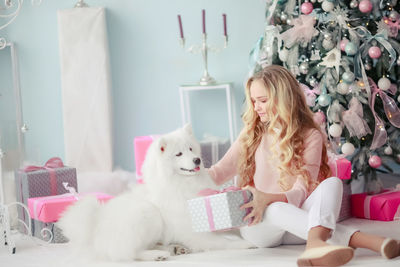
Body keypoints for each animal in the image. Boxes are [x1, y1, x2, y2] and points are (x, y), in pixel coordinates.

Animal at [57, 125, 252, 262]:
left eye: (191, 149)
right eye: (179, 154)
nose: (197, 160)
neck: (182, 184)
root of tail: (96, 225)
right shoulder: (195, 233)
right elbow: (224, 241)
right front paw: (245, 243)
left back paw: (174, 248)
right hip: (148, 214)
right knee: (130, 252)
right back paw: (155, 255)